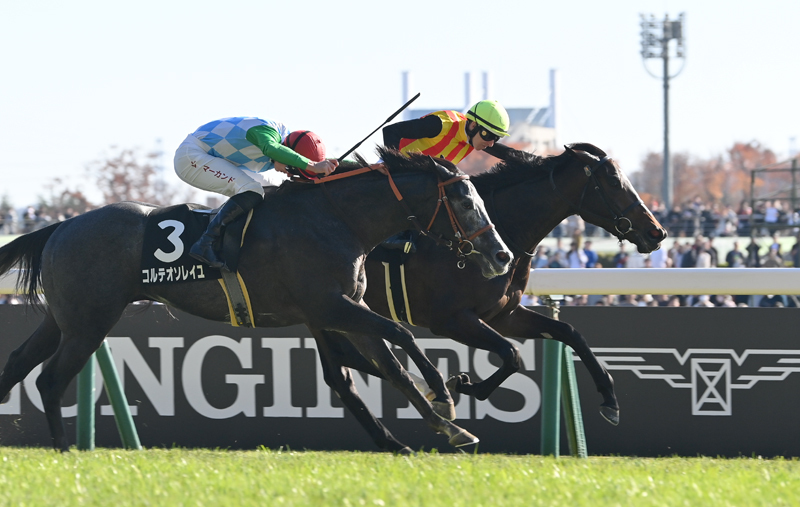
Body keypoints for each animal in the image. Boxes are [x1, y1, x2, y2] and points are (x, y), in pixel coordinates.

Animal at [0, 149, 513, 454]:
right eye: (466, 202)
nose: (501, 256)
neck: (337, 218)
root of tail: (61, 225)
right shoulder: (331, 307)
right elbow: (400, 336)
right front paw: (445, 394)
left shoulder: (345, 311)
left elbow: (388, 367)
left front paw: (446, 426)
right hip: (89, 322)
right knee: (50, 378)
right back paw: (66, 450)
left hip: (64, 318)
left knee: (21, 362)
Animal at [317, 143, 667, 427]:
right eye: (613, 181)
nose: (657, 232)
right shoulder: (451, 319)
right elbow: (511, 354)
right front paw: (463, 385)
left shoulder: (503, 315)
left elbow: (569, 333)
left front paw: (610, 400)